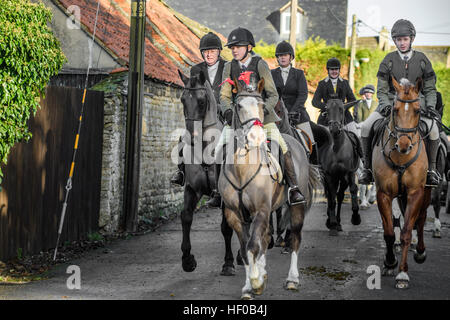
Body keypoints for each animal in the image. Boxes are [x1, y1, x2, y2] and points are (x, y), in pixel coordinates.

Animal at [175, 70, 236, 276]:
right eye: (182, 99)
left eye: (202, 102)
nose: (190, 137)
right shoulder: (192, 189)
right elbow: (186, 217)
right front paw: (187, 260)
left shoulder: (225, 196)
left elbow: (226, 227)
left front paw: (228, 263)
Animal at [219, 79, 320, 298]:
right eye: (239, 106)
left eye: (261, 105)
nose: (256, 136)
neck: (242, 167)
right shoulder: (234, 214)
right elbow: (245, 249)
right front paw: (250, 286)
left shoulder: (261, 210)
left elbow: (252, 246)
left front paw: (256, 282)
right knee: (264, 239)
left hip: (296, 207)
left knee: (295, 239)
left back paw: (292, 280)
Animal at [320, 97, 362, 235]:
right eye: (327, 110)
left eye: (341, 109)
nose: (334, 128)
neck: (337, 149)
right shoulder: (329, 175)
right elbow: (332, 196)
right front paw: (332, 223)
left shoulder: (349, 173)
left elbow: (353, 189)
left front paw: (355, 217)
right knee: (332, 195)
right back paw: (332, 221)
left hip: (342, 179)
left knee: (340, 195)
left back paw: (338, 222)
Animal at [370, 76, 430, 288]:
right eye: (395, 109)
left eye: (418, 110)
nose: (403, 145)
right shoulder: (384, 194)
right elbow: (389, 232)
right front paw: (390, 262)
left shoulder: (415, 193)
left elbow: (406, 232)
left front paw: (402, 274)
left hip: (425, 194)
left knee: (420, 220)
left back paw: (420, 252)